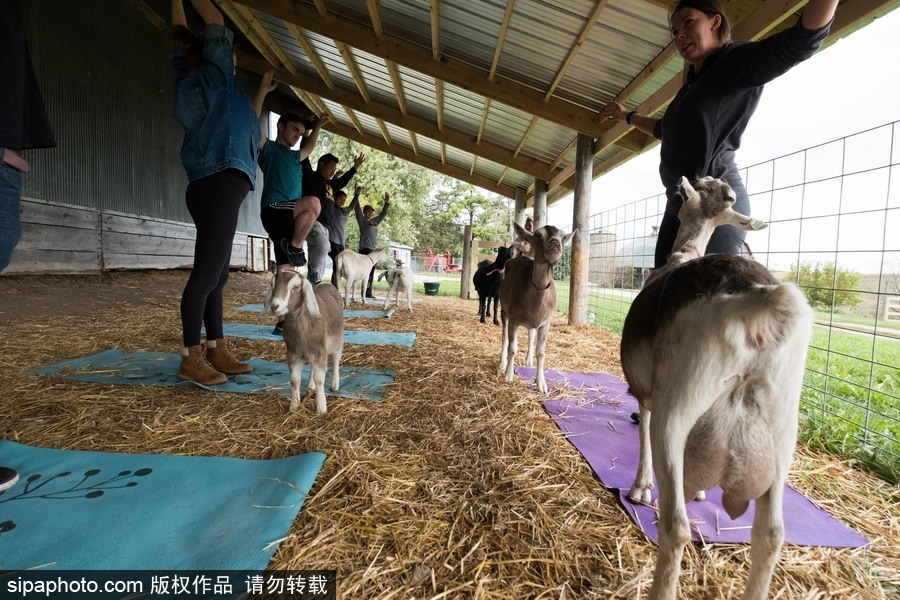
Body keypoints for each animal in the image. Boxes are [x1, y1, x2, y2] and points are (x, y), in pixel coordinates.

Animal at [266, 270, 342, 412]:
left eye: (296, 287)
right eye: (272, 285)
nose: (274, 306)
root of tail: (328, 285)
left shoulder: (320, 352)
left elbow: (320, 380)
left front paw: (321, 408)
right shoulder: (292, 354)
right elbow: (294, 380)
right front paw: (294, 407)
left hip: (337, 339)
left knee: (336, 360)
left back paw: (335, 384)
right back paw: (311, 386)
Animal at [502, 221, 572, 394]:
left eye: (563, 236)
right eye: (539, 234)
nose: (556, 243)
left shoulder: (546, 321)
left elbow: (541, 352)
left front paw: (541, 384)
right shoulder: (513, 318)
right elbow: (512, 348)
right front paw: (508, 375)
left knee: (531, 333)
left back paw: (528, 361)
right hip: (504, 311)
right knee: (504, 337)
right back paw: (502, 364)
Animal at [624, 177, 812, 600]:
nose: (681, 183)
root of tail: (759, 300)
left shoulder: (647, 391)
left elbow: (641, 430)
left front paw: (640, 487)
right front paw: (698, 492)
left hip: (680, 403)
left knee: (676, 526)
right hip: (782, 426)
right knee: (771, 534)